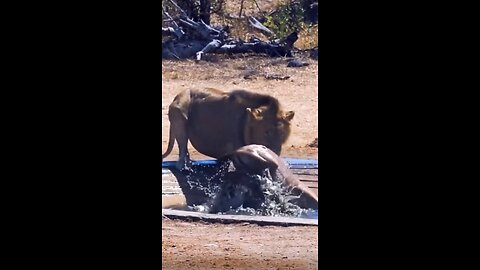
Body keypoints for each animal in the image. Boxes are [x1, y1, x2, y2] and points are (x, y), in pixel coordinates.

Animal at [163, 87, 294, 170]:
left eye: (282, 134)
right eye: (267, 132)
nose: (275, 153)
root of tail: (177, 96)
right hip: (179, 121)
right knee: (182, 148)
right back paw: (183, 166)